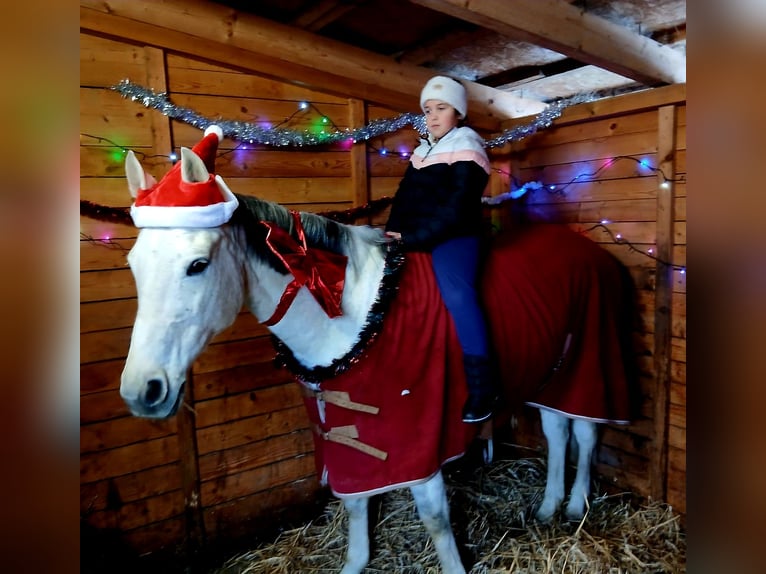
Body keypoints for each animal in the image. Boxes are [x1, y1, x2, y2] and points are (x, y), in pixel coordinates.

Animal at [119, 136, 635, 574]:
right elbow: (354, 501)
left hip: (588, 362)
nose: (143, 390)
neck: (359, 313)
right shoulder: (344, 434)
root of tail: (586, 248)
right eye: (133, 264)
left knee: (585, 431)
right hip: (549, 371)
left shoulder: (418, 442)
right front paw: (355, 561)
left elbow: (435, 518)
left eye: (198, 264)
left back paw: (575, 506)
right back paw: (549, 506)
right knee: (556, 430)